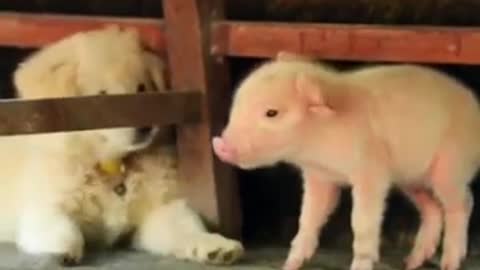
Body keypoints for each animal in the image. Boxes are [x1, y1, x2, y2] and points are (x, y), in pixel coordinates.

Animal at [0, 26, 244, 266]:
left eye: (141, 88)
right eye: (102, 96)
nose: (146, 126)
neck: (111, 165)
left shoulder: (158, 207)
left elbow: (185, 226)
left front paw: (214, 245)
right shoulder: (44, 202)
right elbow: (60, 225)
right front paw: (63, 250)